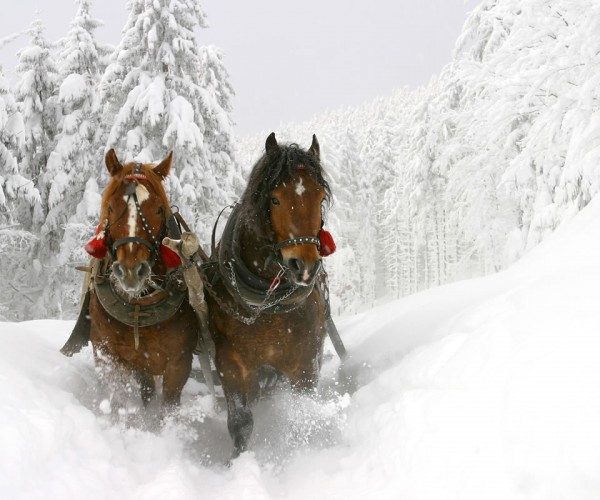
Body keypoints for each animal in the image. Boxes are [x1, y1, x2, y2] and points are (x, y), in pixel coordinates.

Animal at [85, 150, 198, 416]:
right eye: (112, 207)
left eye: (158, 209)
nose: (130, 271)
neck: (139, 307)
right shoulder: (109, 355)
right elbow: (118, 400)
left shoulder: (179, 363)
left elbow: (168, 406)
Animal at [202, 132, 332, 458]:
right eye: (275, 199)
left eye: (320, 198)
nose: (304, 266)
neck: (268, 305)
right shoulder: (231, 362)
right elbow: (241, 422)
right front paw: (237, 462)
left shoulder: (306, 364)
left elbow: (302, 415)